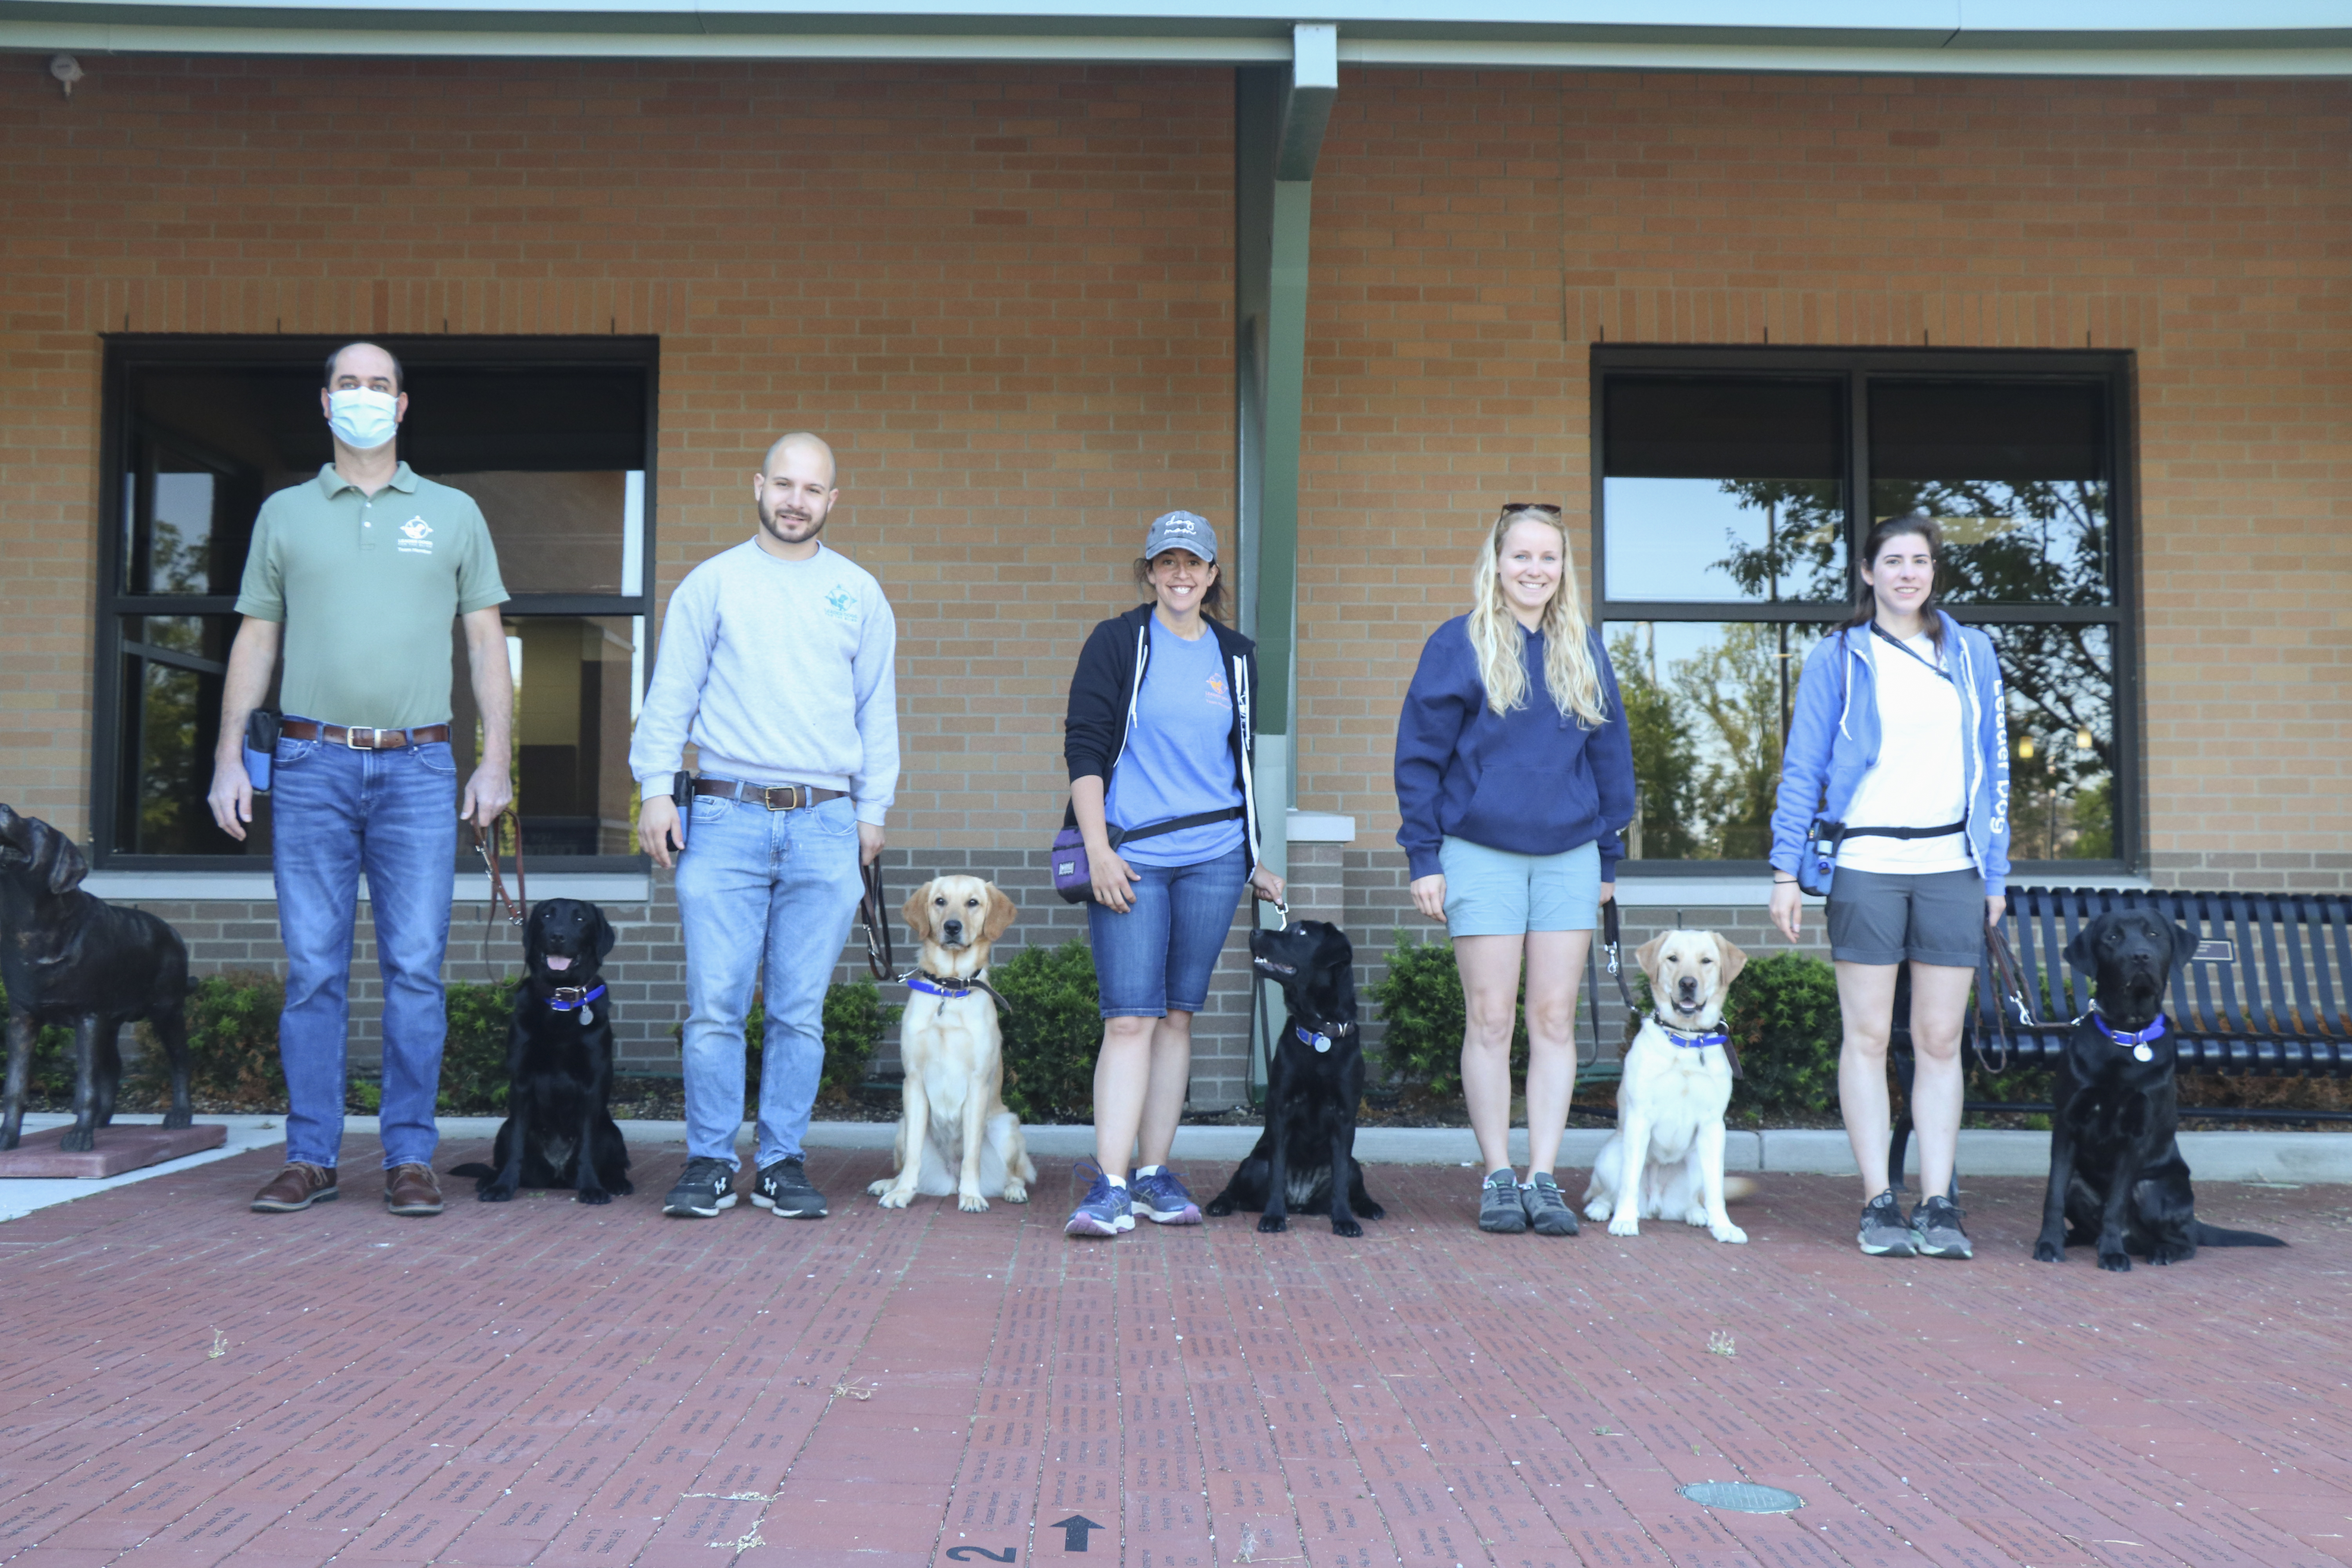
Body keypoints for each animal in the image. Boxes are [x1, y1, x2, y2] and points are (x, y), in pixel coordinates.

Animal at [870, 879, 1035, 1222]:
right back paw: (890, 1185)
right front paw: (902, 1193)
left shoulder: (977, 1085)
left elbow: (972, 1153)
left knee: (1015, 1174)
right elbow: (913, 1158)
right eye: (940, 901)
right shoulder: (913, 1083)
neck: (949, 988)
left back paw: (1012, 1191)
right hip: (902, 1125)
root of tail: (950, 1176)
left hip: (1007, 1127)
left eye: (973, 902)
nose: (952, 927)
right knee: (906, 1162)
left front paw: (971, 1196)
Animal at [1581, 926, 1750, 1241]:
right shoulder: (1639, 1118)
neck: (1687, 1040)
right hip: (1612, 1154)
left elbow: (1716, 1191)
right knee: (1606, 1192)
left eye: (1706, 961)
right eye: (1673, 959)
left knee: (1696, 1198)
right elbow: (1629, 1181)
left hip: (1697, 1160)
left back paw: (1698, 1214)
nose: (1688, 983)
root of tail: (1655, 1204)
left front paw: (1724, 1227)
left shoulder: (1713, 1126)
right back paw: (1603, 1210)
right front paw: (1624, 1220)